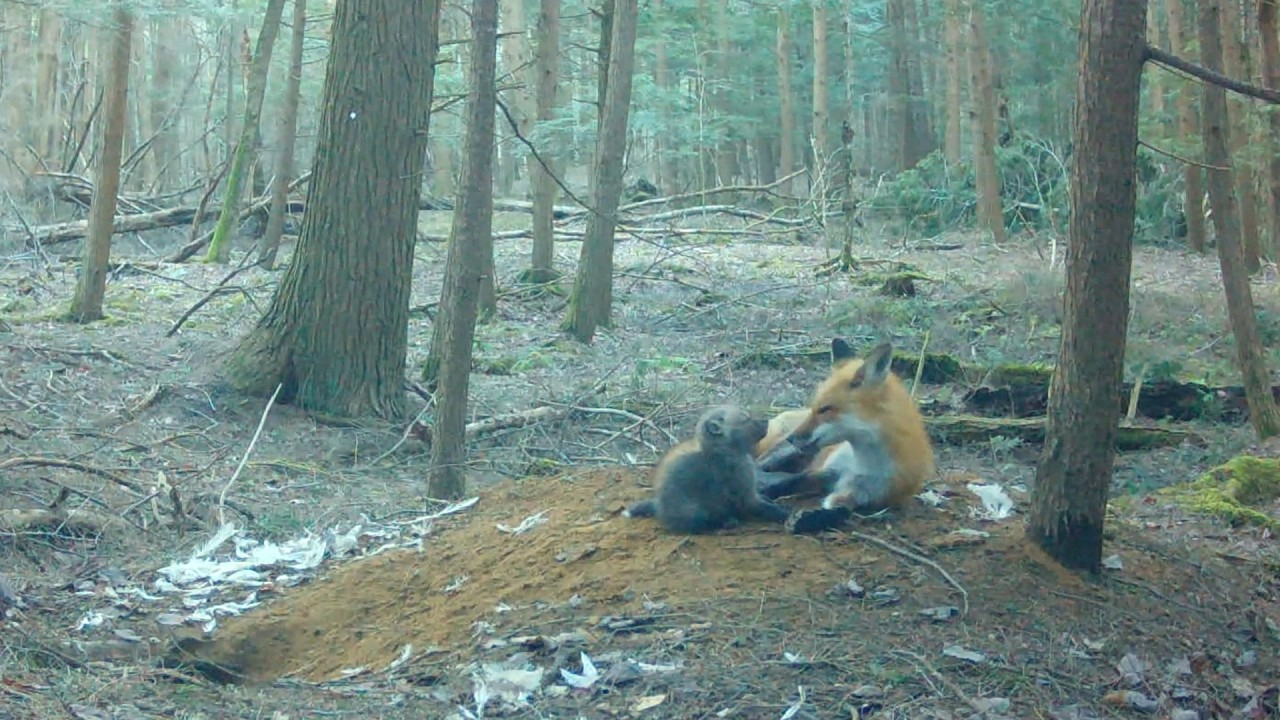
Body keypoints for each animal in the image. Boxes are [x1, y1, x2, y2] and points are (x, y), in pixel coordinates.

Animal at [625, 405, 792, 534]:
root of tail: (658, 506)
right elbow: (766, 507)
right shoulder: (745, 494)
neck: (722, 452)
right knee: (702, 523)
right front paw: (785, 513)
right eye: (745, 419)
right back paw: (727, 521)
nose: (766, 421)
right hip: (694, 510)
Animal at [754, 339, 935, 528]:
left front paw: (808, 520)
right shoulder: (830, 470)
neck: (862, 463)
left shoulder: (864, 496)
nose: (790, 438)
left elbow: (840, 512)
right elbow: (791, 481)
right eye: (814, 408)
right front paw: (764, 491)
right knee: (759, 466)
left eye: (825, 409)